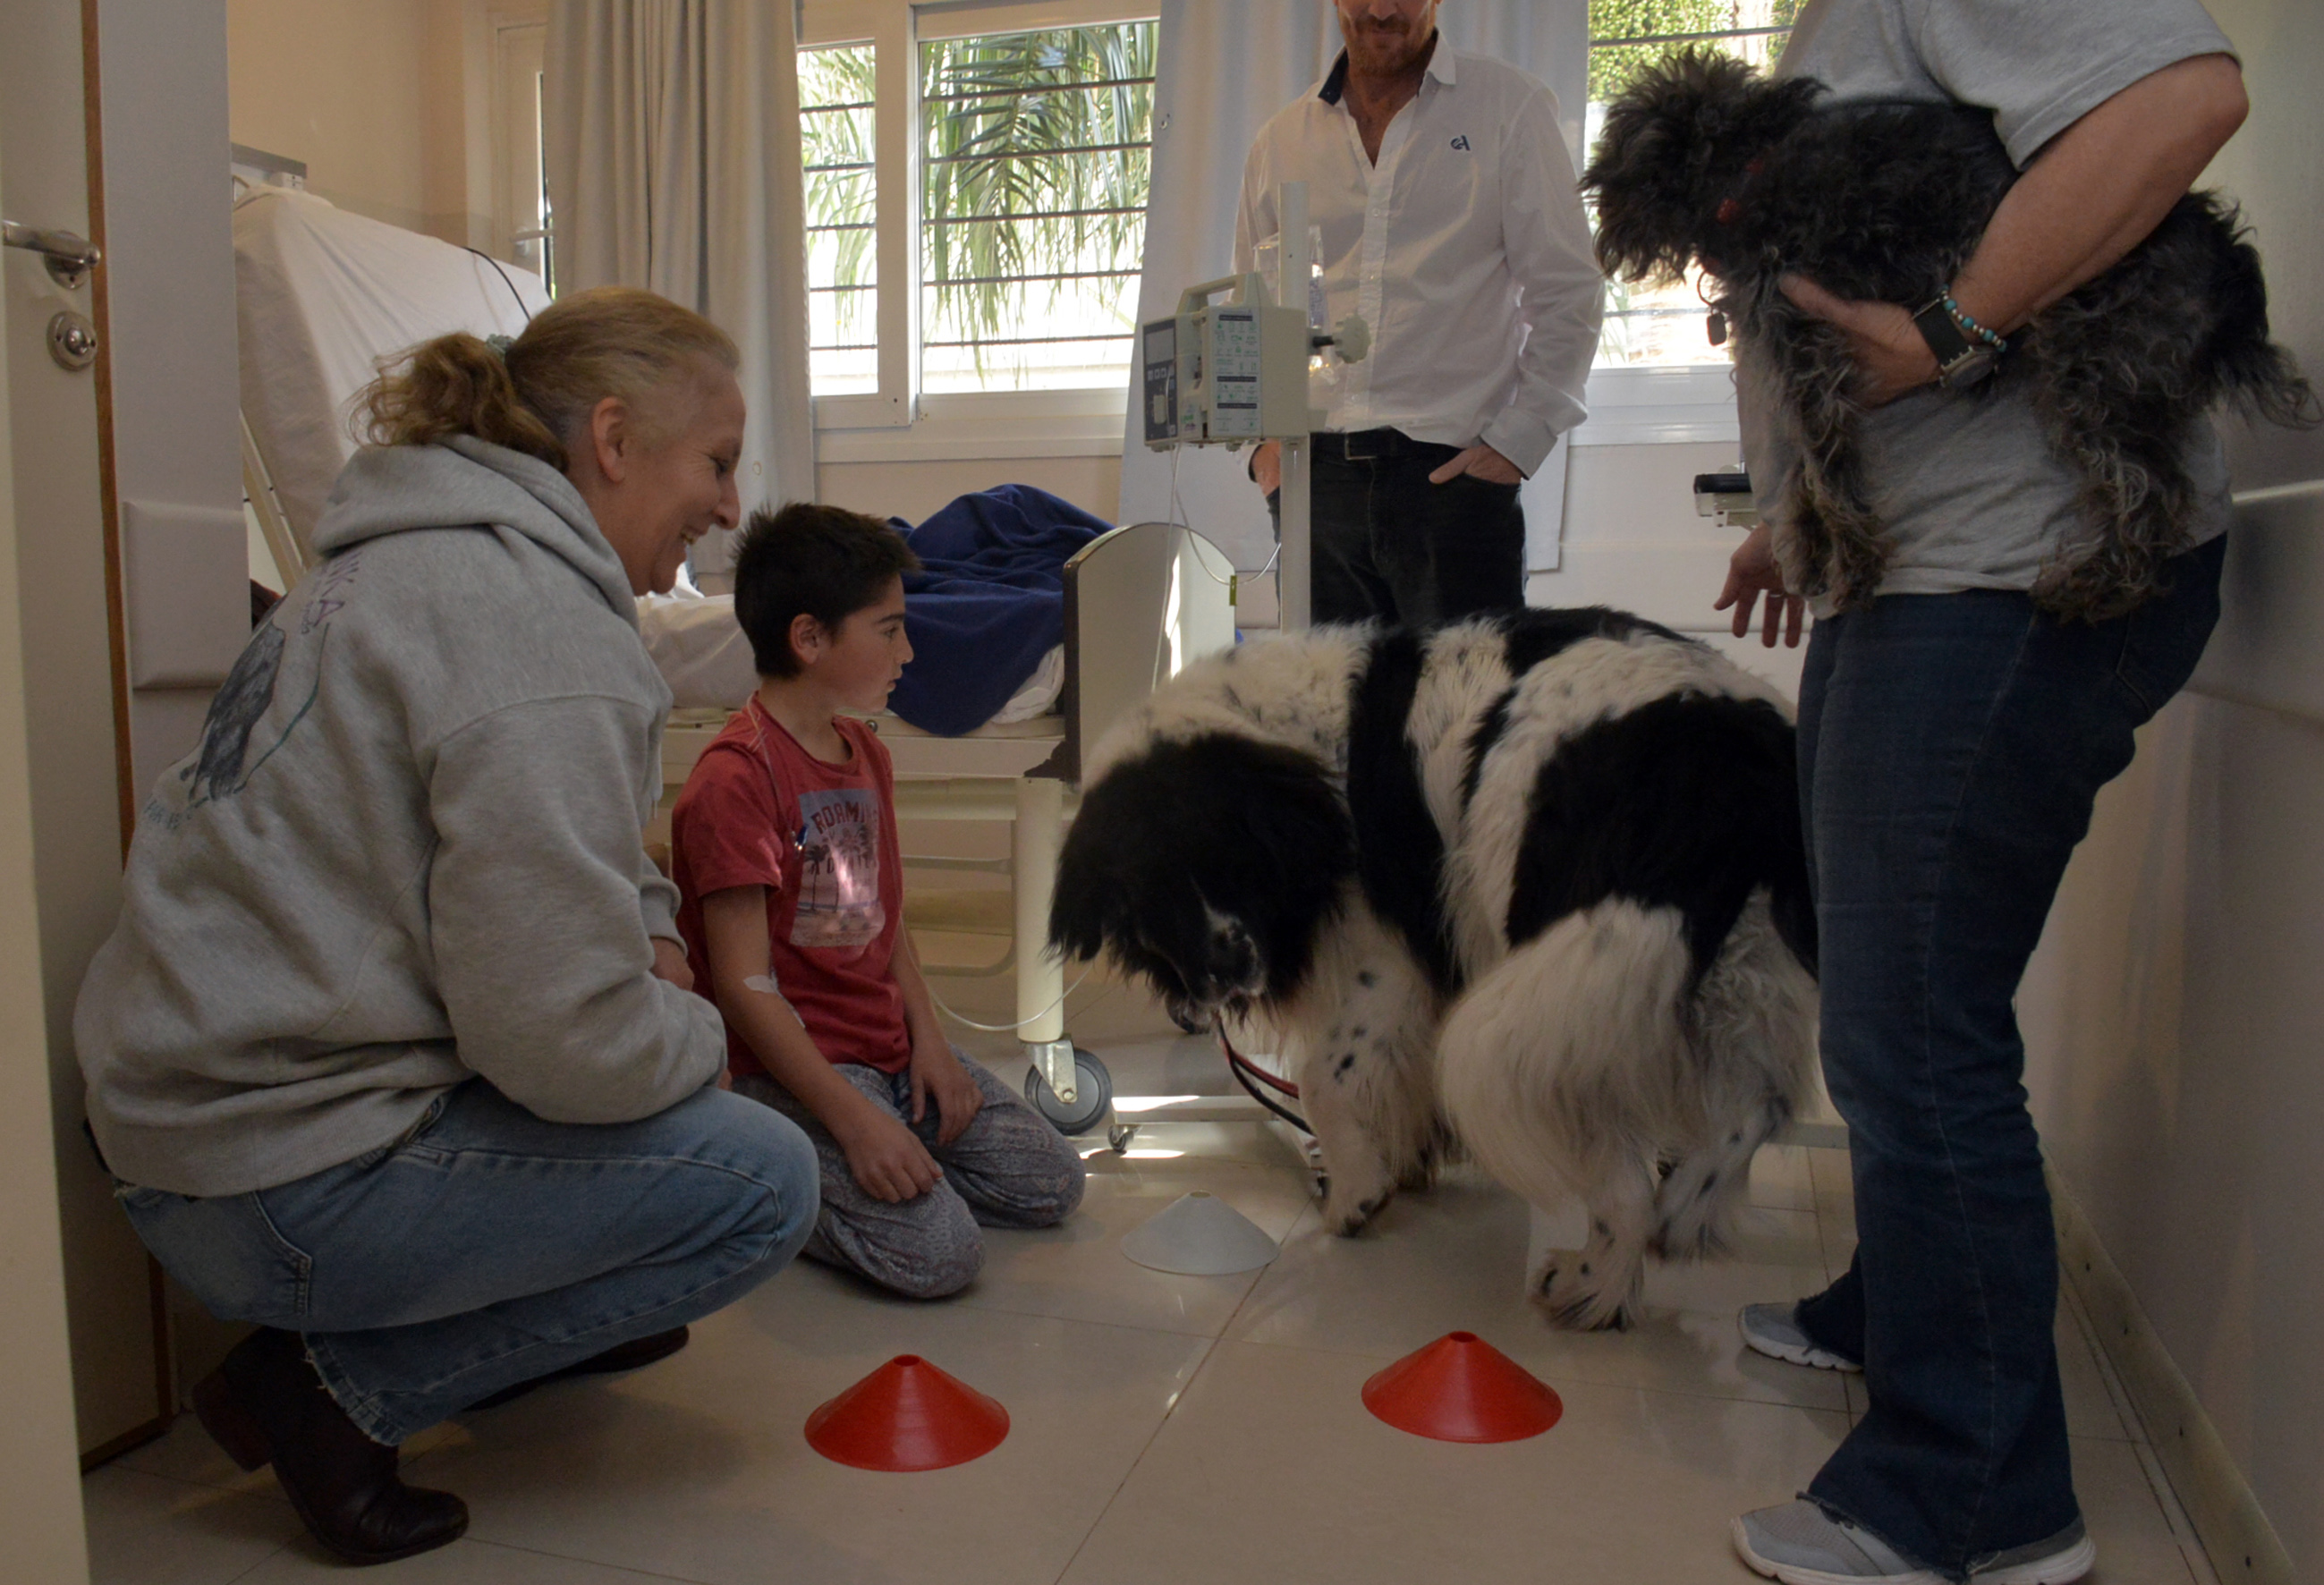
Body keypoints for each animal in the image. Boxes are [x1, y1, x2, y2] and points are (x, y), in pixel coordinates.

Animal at [1050, 608, 1812, 1329]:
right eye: (1141, 896)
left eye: (1226, 855)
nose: (1221, 975)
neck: (1286, 745)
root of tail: (1721, 737)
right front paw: (1406, 1160)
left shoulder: (1387, 965)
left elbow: (1323, 1080)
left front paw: (1355, 1193)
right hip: (1729, 955)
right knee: (1759, 1105)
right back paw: (1679, 1214)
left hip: (1560, 966)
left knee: (1622, 1170)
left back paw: (1591, 1285)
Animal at [1571, 49, 2314, 618]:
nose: (1596, 211)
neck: (1747, 178)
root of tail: (2226, 254)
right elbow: (1807, 474)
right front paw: (1811, 550)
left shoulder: (1811, 353)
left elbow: (1827, 470)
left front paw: (1854, 565)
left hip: (2092, 368)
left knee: (2151, 493)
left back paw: (2092, 586)